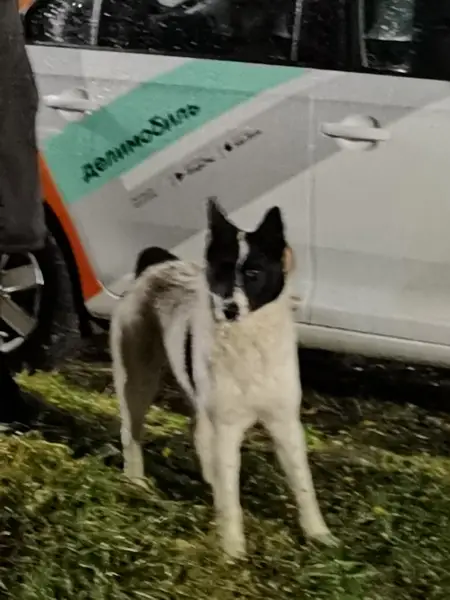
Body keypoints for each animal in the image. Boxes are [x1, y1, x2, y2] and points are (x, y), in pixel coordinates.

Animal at [110, 198, 336, 557]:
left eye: (253, 273)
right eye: (221, 271)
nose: (229, 308)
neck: (248, 341)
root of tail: (156, 264)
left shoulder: (285, 424)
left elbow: (304, 486)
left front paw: (318, 534)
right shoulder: (228, 429)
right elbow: (231, 500)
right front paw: (233, 550)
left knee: (200, 435)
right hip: (137, 381)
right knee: (131, 432)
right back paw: (136, 481)